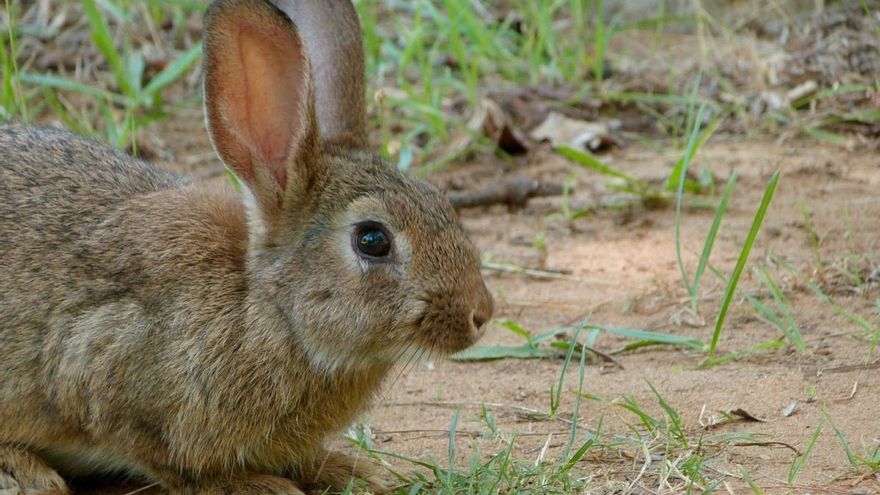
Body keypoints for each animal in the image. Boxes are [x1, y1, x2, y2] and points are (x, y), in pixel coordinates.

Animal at [0, 0, 494, 493]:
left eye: (439, 198)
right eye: (372, 240)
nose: (481, 313)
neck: (269, 310)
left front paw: (349, 471)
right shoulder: (102, 366)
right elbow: (169, 463)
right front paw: (260, 485)